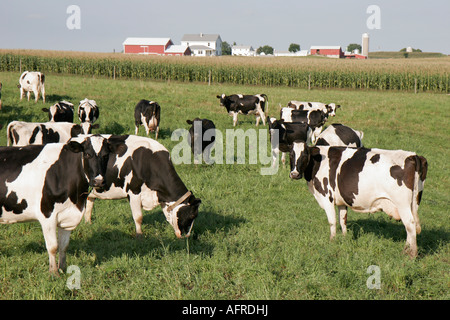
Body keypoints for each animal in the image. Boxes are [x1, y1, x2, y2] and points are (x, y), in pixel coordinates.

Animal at [0, 135, 126, 272]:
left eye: (106, 155)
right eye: (87, 154)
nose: (98, 181)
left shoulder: (67, 215)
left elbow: (64, 246)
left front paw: (63, 268)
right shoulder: (47, 214)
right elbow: (53, 247)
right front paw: (54, 272)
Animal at [290, 141, 428, 256]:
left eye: (305, 155)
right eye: (291, 154)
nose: (294, 174)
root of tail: (412, 155)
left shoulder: (327, 197)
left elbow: (332, 221)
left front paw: (332, 241)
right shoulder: (341, 200)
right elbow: (343, 220)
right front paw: (344, 238)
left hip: (402, 204)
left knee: (409, 224)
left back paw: (411, 254)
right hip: (414, 202)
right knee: (411, 226)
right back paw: (407, 250)